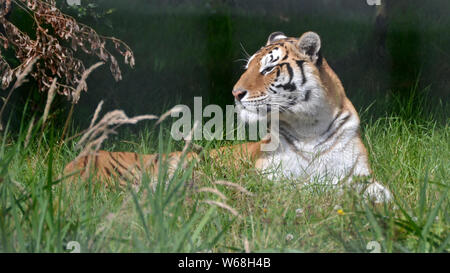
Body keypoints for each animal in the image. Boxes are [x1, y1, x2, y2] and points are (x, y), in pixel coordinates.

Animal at [63, 31, 390, 202]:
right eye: (248, 66)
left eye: (268, 68)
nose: (235, 93)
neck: (308, 127)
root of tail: (74, 162)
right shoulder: (268, 177)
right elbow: (302, 186)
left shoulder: (359, 173)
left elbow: (379, 191)